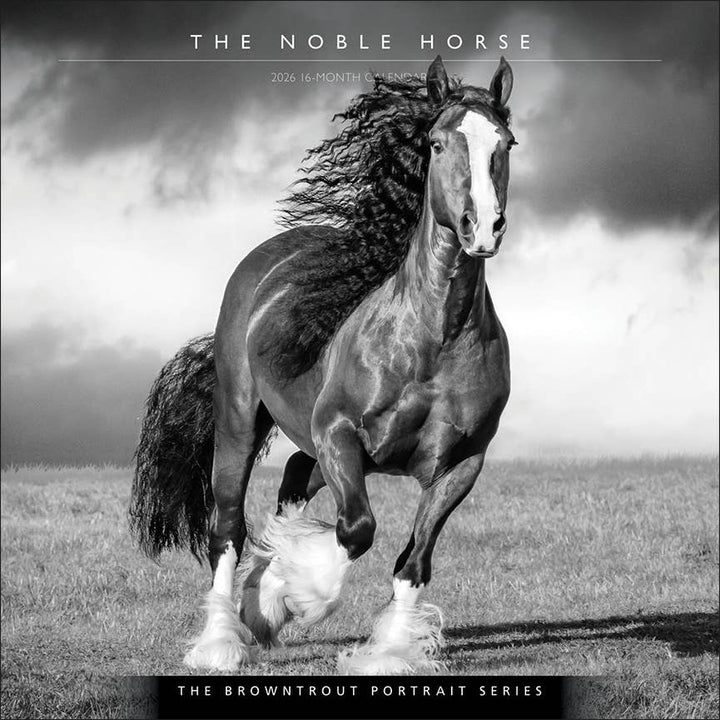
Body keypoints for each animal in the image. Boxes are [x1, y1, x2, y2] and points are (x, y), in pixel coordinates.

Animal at [129, 54, 515, 675]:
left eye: (507, 143)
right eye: (435, 143)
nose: (481, 227)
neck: (432, 340)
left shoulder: (462, 464)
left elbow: (414, 560)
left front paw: (387, 651)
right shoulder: (339, 434)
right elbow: (357, 530)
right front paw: (290, 596)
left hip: (310, 441)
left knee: (290, 480)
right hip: (241, 422)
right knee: (227, 527)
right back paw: (220, 640)